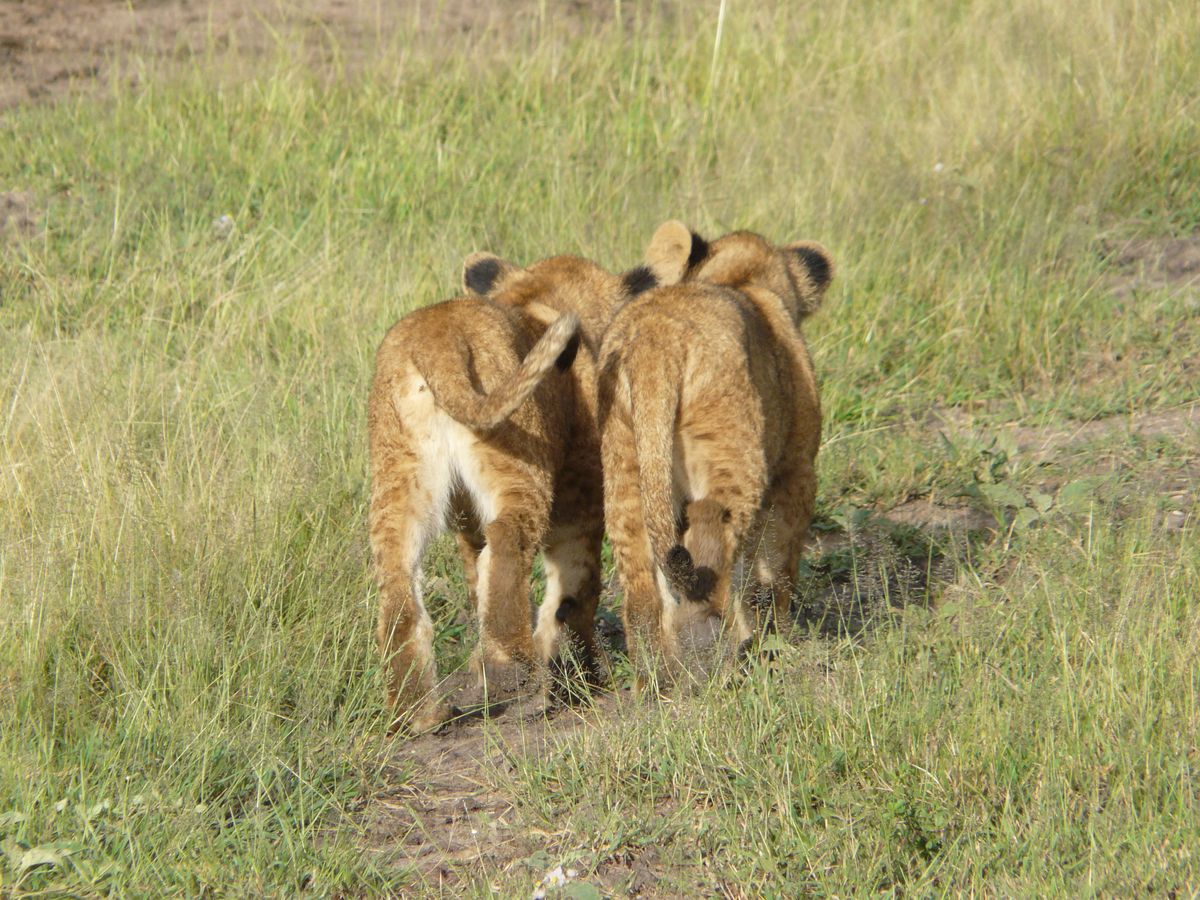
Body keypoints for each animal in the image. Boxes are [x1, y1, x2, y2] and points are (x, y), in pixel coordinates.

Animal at [369, 253, 651, 732]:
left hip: (397, 479)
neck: (538, 297)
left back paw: (419, 712)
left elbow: (474, 573)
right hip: (520, 457)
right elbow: (576, 589)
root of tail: (439, 340)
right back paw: (507, 666)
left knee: (398, 581)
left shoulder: (466, 521)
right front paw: (585, 678)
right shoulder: (579, 497)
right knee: (505, 540)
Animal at [597, 221, 835, 678]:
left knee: (641, 594)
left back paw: (657, 680)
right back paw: (717, 662)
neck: (739, 278)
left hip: (625, 468)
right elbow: (776, 567)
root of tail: (655, 340)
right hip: (734, 457)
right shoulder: (796, 470)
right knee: (711, 540)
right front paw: (777, 637)